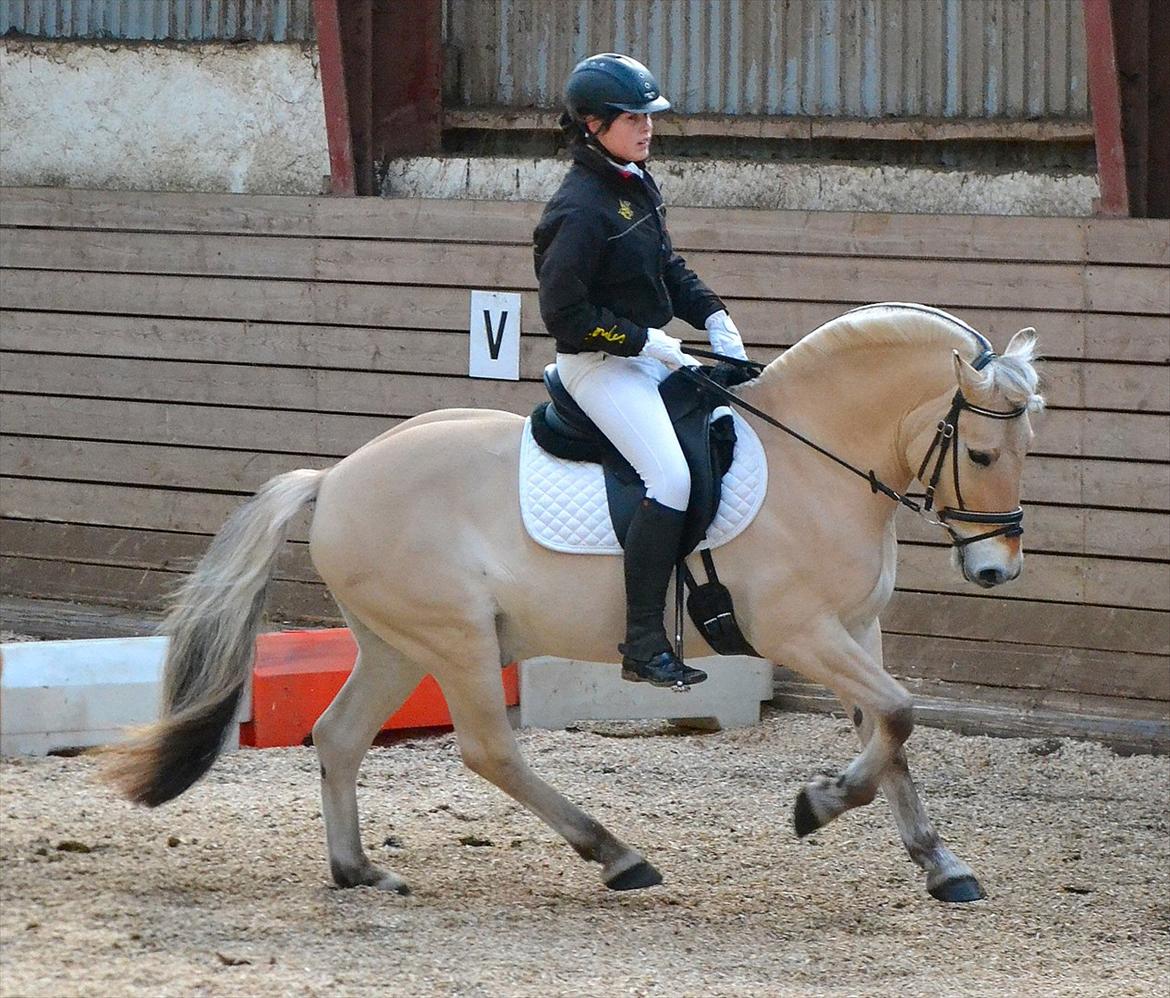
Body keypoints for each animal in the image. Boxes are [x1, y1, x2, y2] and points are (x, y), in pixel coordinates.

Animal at [103, 302, 1043, 903]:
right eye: (985, 454)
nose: (996, 569)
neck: (816, 462)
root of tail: (335, 478)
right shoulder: (802, 631)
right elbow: (899, 716)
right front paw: (817, 807)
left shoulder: (856, 628)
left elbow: (890, 733)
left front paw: (939, 864)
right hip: (458, 640)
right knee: (489, 751)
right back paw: (618, 857)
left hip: (399, 644)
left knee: (338, 736)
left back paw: (359, 871)